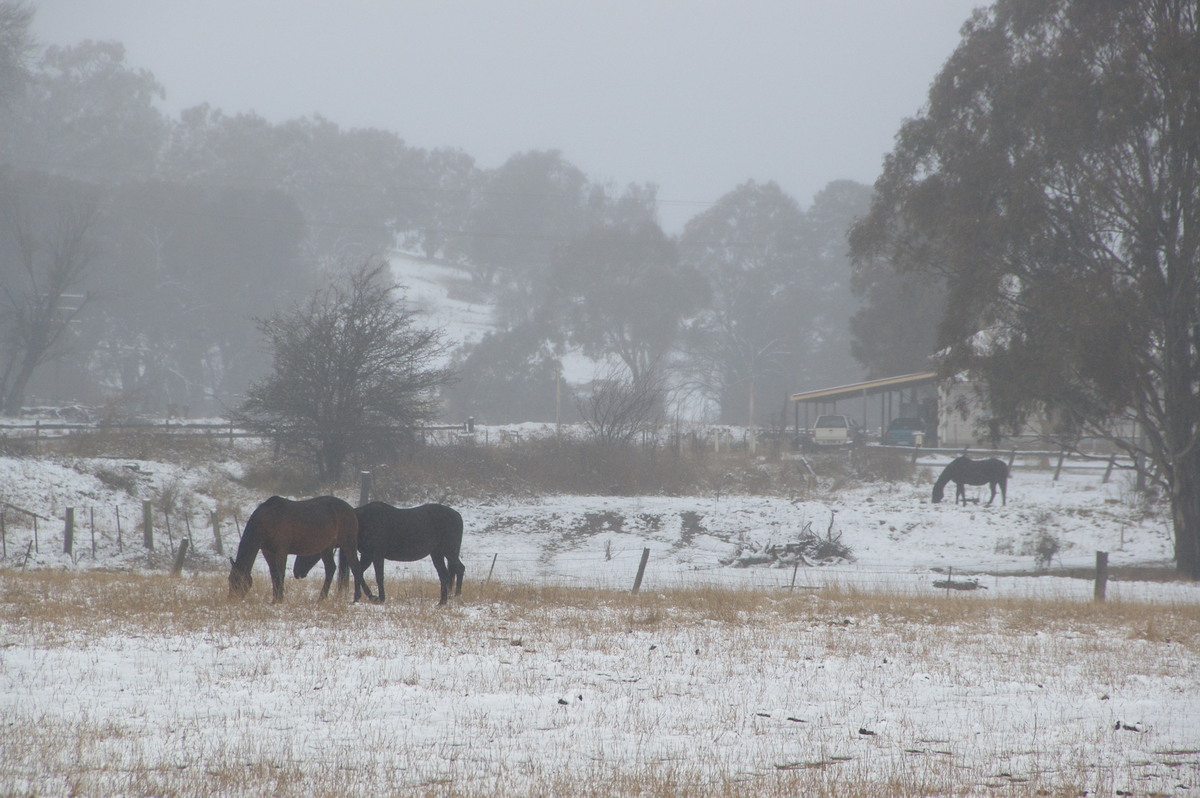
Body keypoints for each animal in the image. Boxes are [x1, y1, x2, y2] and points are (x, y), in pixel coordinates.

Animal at [225, 494, 374, 600]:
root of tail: (351, 510)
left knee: (355, 567)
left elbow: (280, 574)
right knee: (331, 569)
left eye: (238, 581)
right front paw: (275, 599)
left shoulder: (281, 551)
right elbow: (274, 574)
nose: (232, 599)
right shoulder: (268, 552)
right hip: (326, 548)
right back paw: (321, 598)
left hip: (348, 543)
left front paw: (279, 599)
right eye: (230, 579)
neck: (267, 520)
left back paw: (360, 597)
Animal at [292, 499, 465, 604]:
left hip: (449, 551)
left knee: (459, 569)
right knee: (445, 575)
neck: (360, 523)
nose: (297, 572)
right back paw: (442, 601)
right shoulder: (367, 555)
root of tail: (458, 516)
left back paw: (456, 595)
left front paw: (380, 598)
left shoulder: (377, 555)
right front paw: (357, 598)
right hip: (437, 554)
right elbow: (358, 573)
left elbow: (378, 576)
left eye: (307, 548)